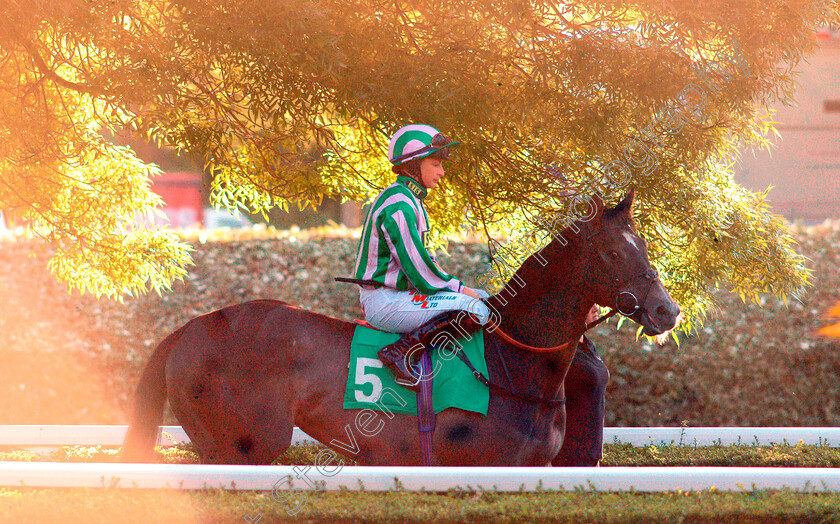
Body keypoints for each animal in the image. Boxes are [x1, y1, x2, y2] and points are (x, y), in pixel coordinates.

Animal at [121, 192, 680, 466]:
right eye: (615, 253)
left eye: (645, 247)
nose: (666, 311)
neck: (513, 363)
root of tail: (190, 327)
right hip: (237, 447)